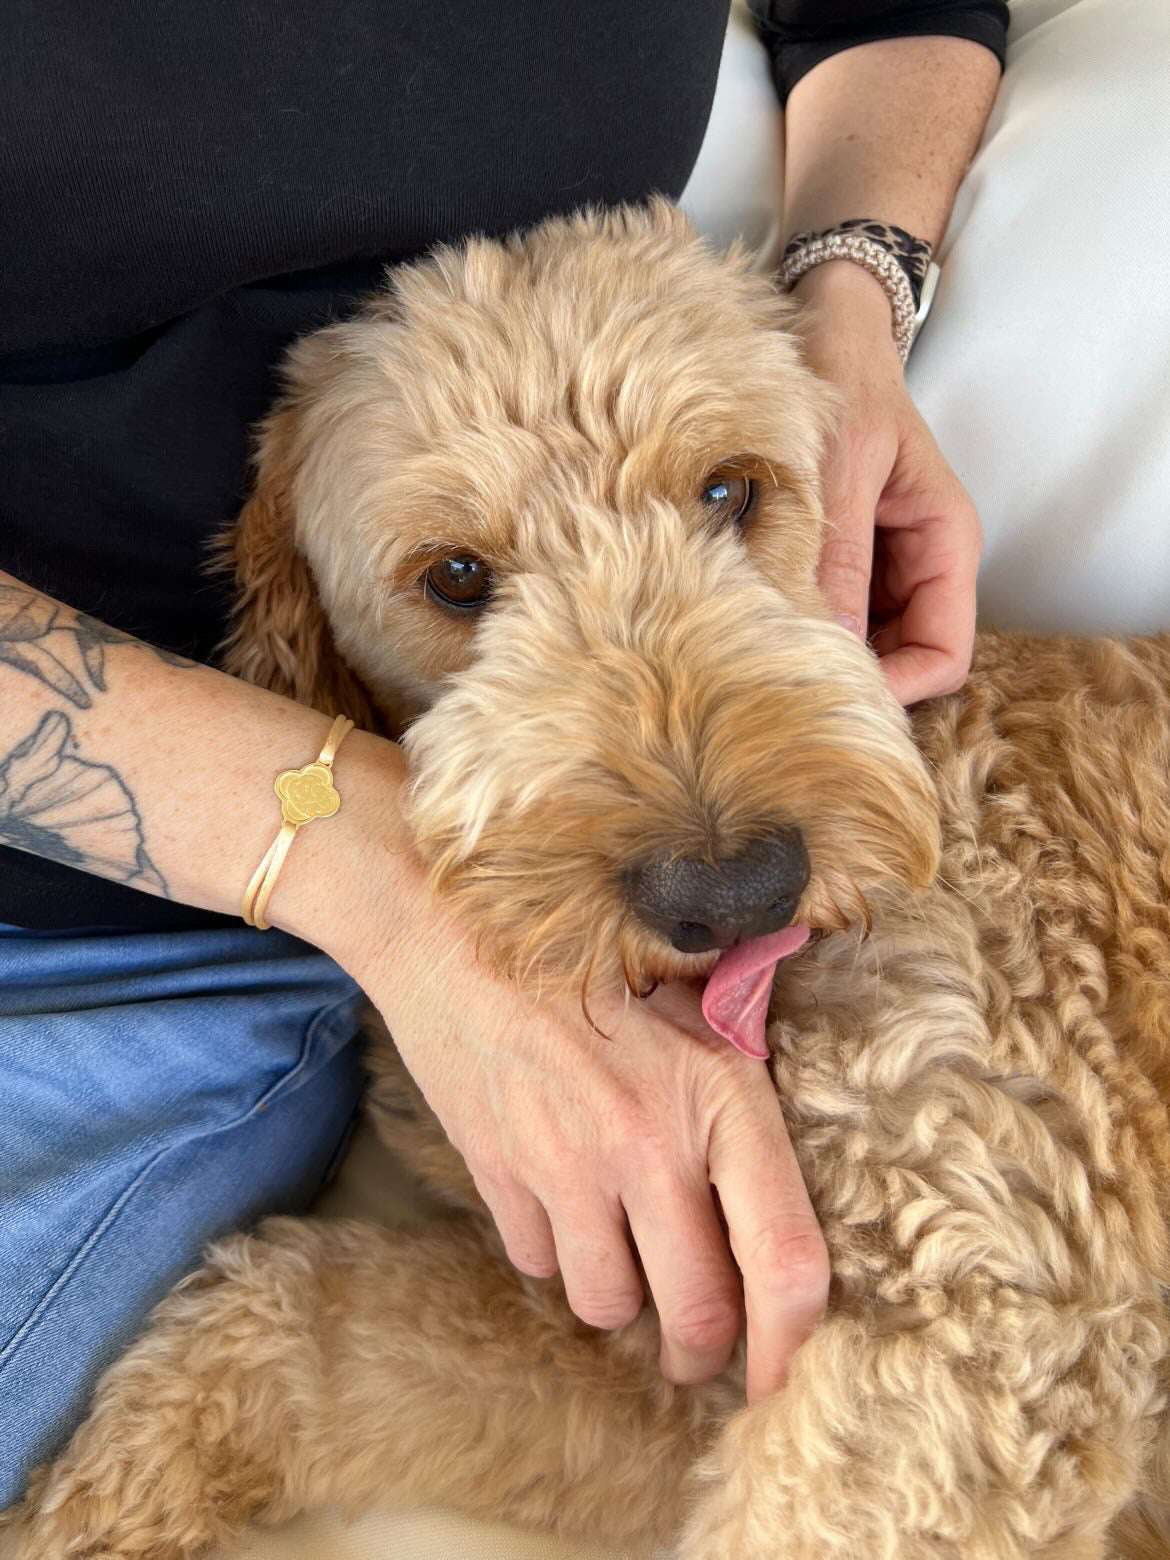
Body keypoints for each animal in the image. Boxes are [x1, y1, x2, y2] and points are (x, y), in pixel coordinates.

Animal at [6, 201, 1170, 1560]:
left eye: (730, 489)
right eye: (456, 577)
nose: (736, 889)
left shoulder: (985, 1335)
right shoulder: (671, 1329)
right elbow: (288, 1318)